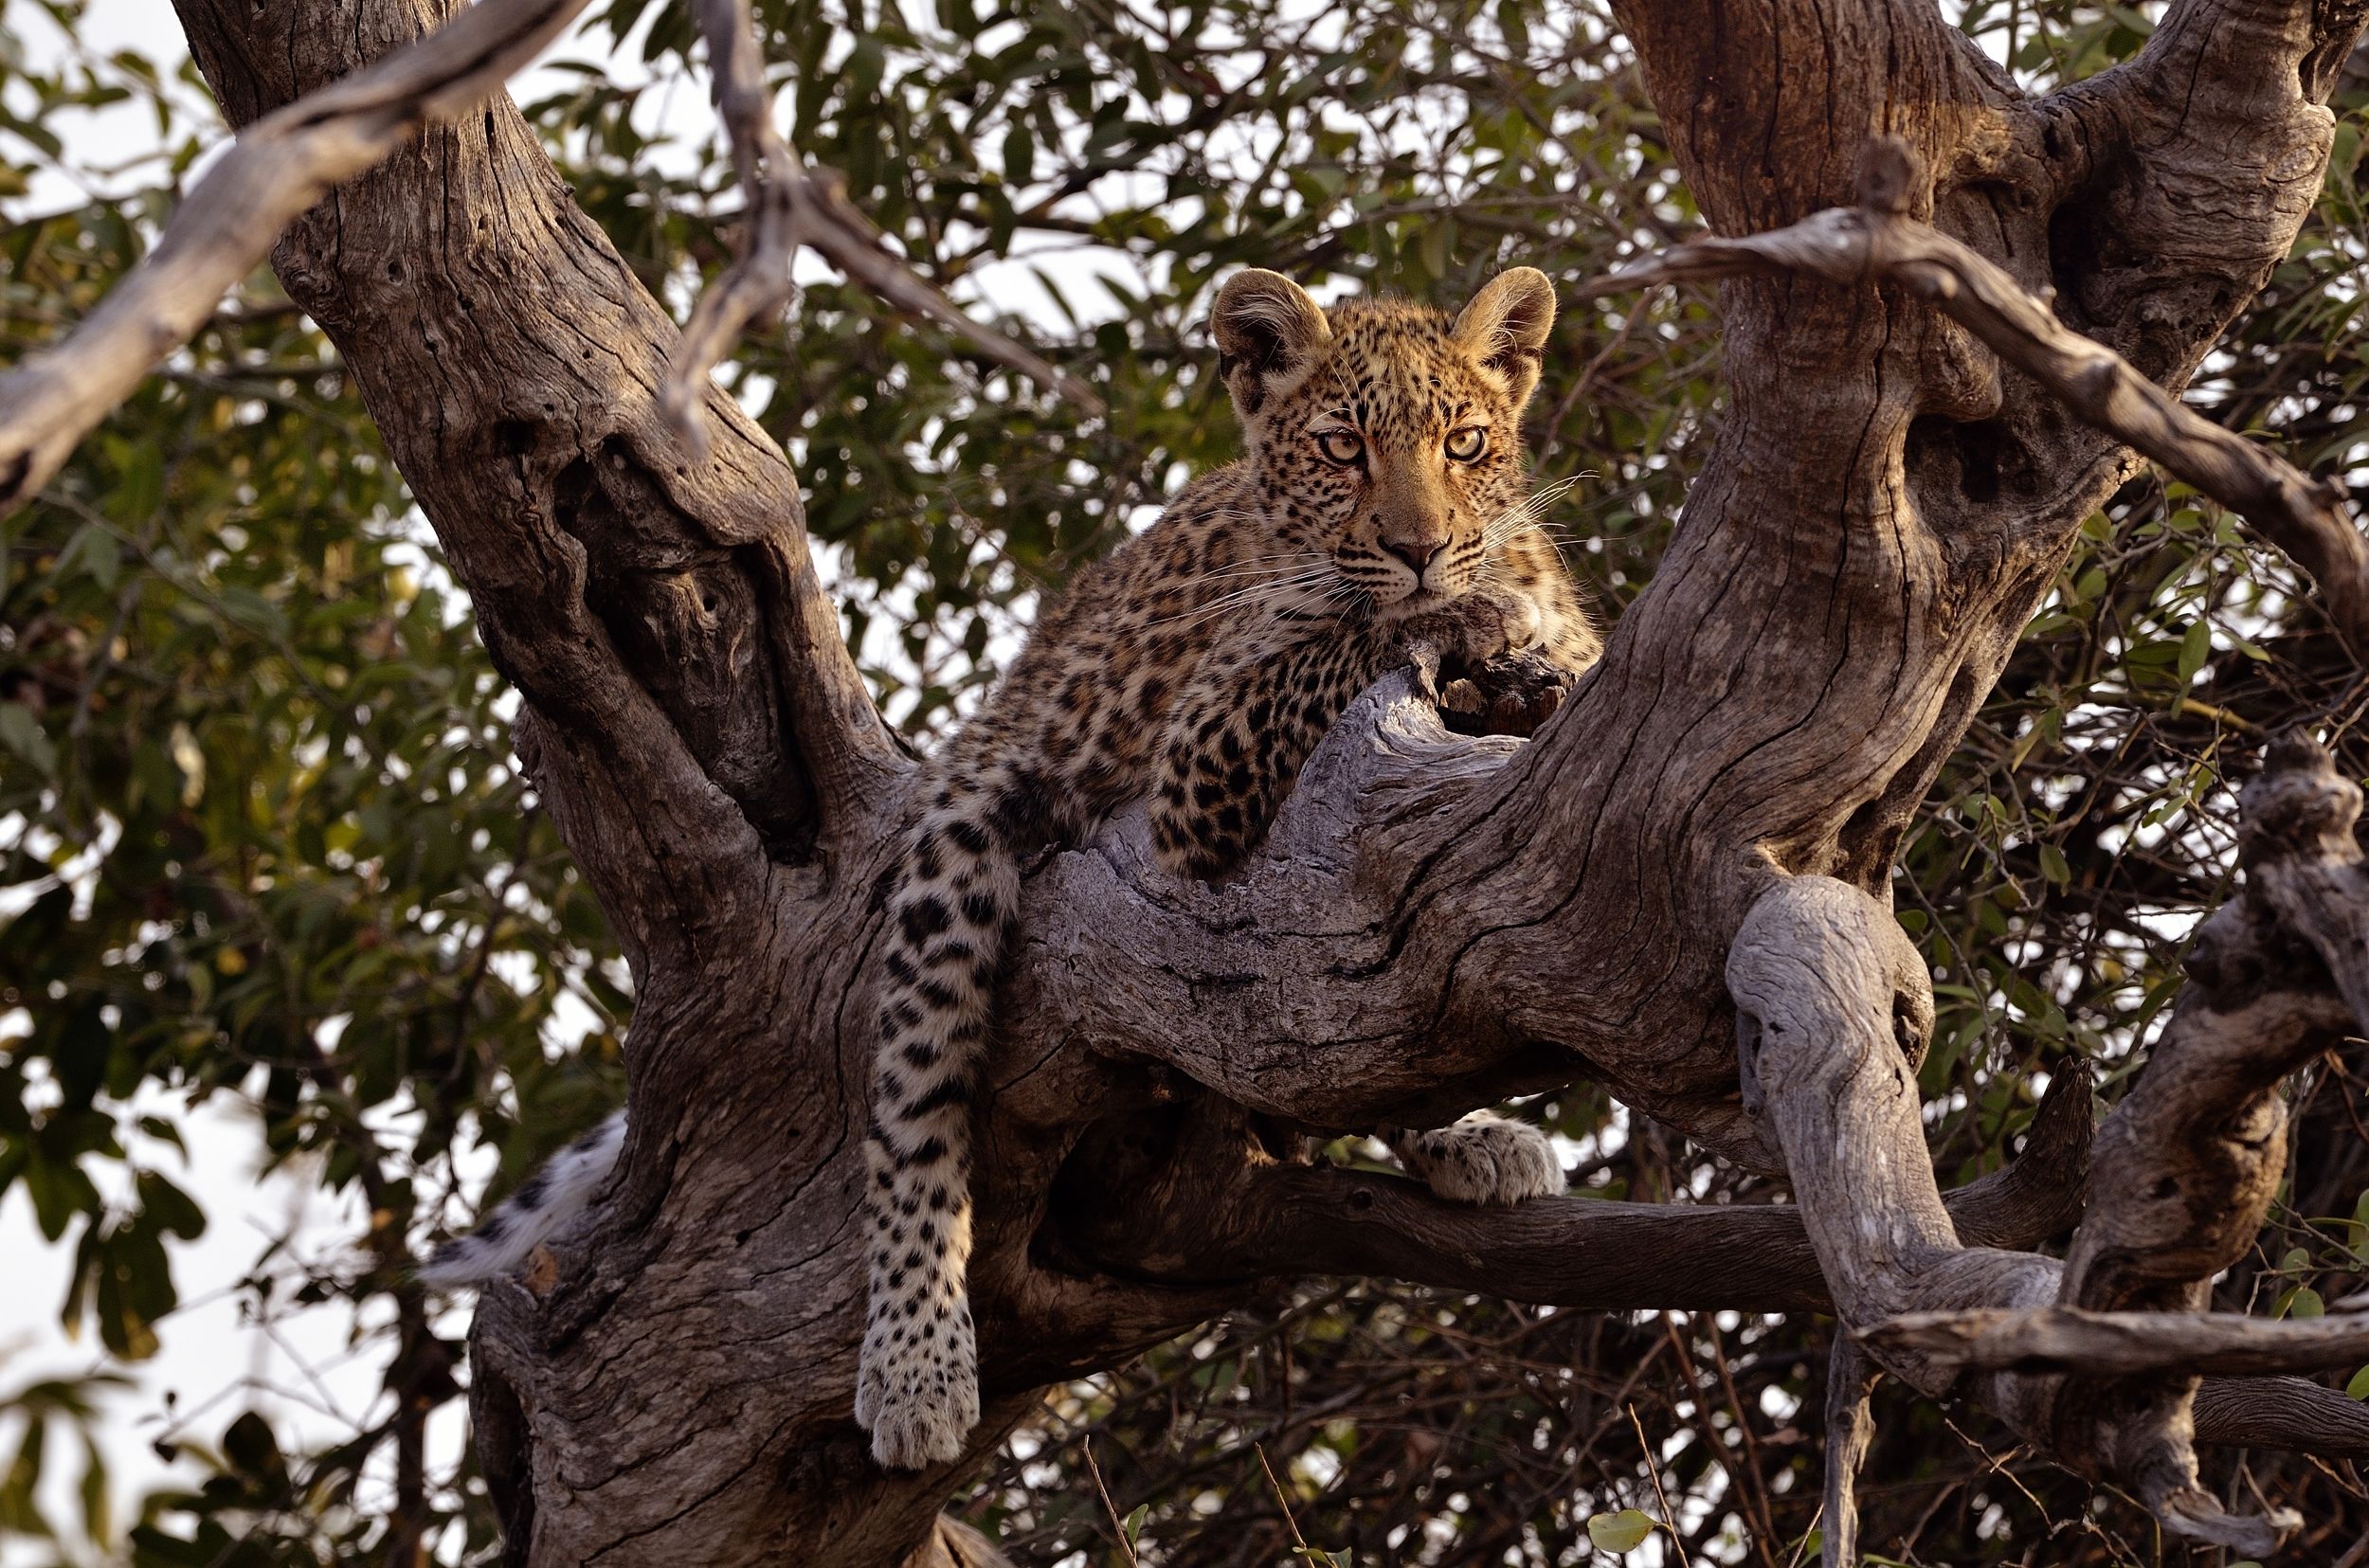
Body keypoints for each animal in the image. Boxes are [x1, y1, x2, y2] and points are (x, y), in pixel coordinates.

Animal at [419, 265, 1603, 1473]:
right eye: (1340, 447)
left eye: (1464, 443)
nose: (1419, 546)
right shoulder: (1198, 754)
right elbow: (1344, 642)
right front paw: (1468, 610)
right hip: (956, 849)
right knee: (913, 1114)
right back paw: (914, 1366)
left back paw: (1469, 1139)